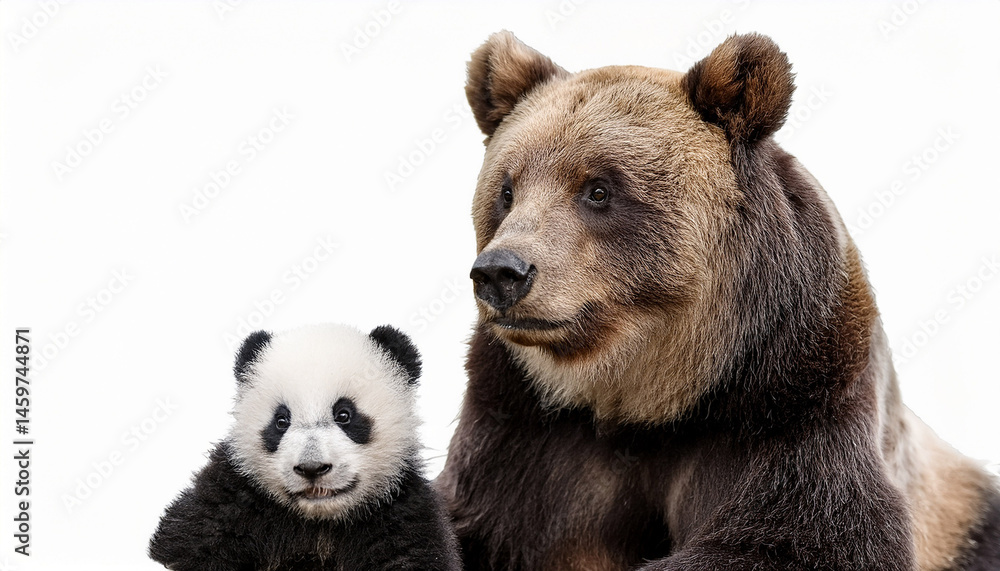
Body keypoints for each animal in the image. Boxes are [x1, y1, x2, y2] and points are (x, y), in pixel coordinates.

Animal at [149, 323, 460, 571]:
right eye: (281, 421)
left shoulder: (400, 514)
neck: (317, 521)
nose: (312, 468)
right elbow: (188, 543)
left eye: (344, 415)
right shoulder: (231, 500)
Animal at [435, 30, 1000, 571]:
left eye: (597, 189)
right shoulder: (524, 430)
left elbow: (802, 541)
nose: (501, 273)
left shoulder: (796, 396)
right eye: (506, 190)